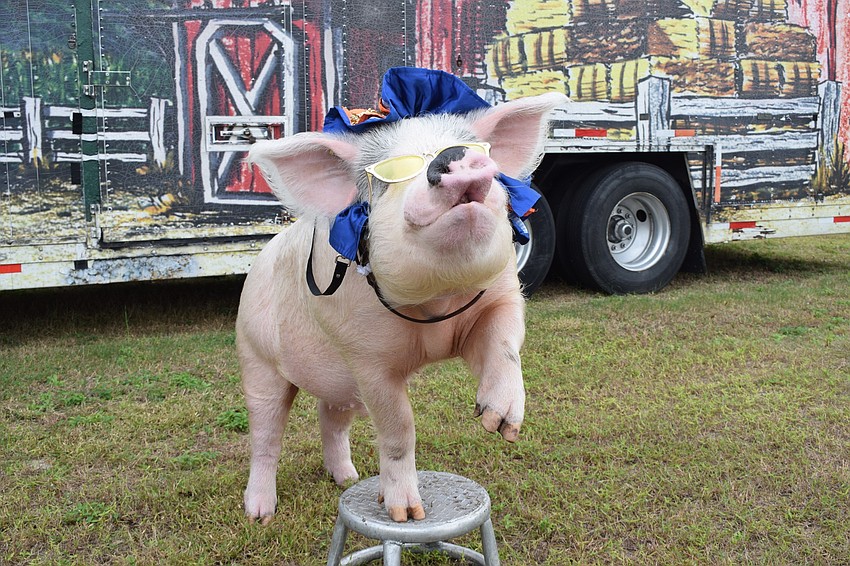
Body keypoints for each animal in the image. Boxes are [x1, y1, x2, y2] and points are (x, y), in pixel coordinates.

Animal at [237, 73, 566, 524]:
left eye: (473, 147)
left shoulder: (501, 300)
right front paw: (406, 515)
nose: (454, 156)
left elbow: (505, 346)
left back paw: (347, 479)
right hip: (256, 358)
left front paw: (499, 425)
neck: (439, 303)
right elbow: (398, 430)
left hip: (337, 381)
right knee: (265, 434)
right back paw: (260, 515)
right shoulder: (366, 358)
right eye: (393, 172)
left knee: (330, 416)